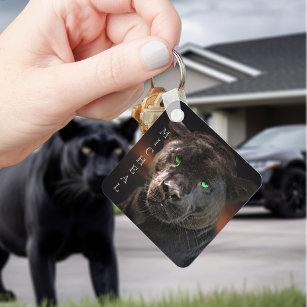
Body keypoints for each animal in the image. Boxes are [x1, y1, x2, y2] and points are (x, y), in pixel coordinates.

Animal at [0, 117, 138, 306]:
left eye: (117, 149)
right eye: (86, 149)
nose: (103, 173)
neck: (77, 204)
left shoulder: (102, 246)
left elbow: (109, 288)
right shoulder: (40, 248)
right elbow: (46, 292)